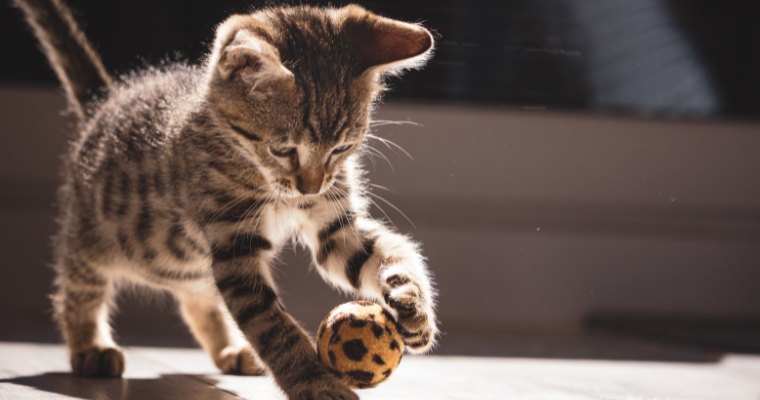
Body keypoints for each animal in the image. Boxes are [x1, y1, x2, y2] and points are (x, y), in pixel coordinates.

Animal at [11, 0, 436, 398]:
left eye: (342, 148)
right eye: (284, 150)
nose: (310, 188)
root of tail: (107, 102)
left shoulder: (333, 227)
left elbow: (385, 251)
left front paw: (412, 303)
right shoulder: (234, 244)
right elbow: (269, 324)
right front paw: (314, 381)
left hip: (189, 264)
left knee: (197, 298)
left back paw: (230, 351)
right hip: (92, 238)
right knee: (77, 288)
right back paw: (90, 347)